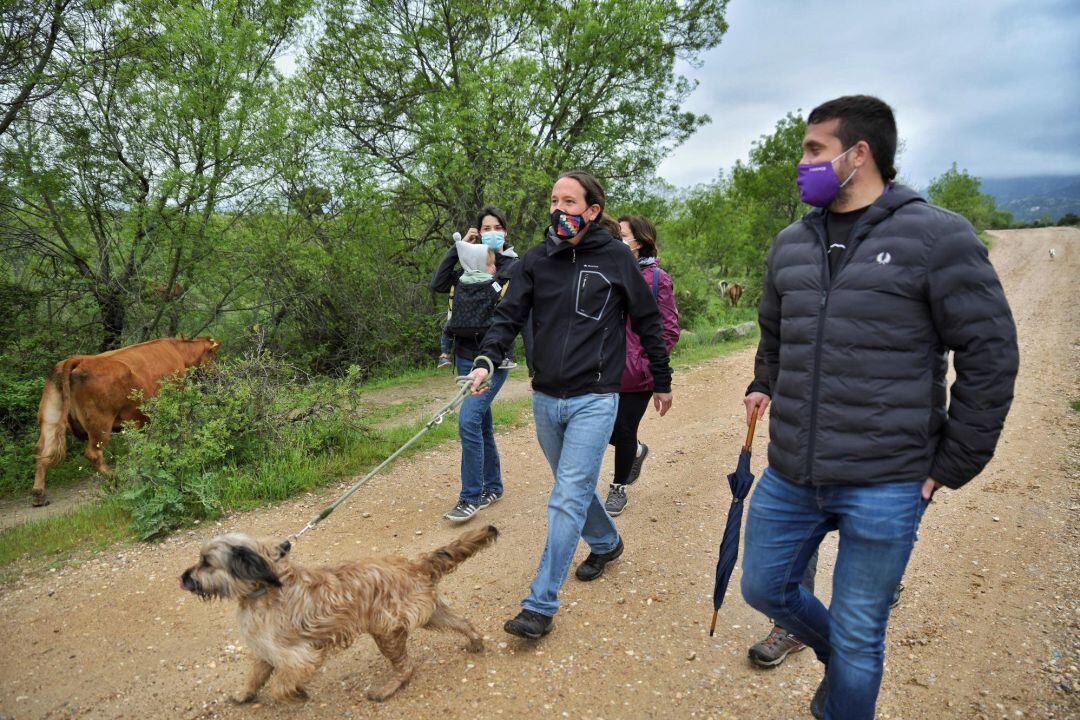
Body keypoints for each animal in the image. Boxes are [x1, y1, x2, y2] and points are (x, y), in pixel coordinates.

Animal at [30, 336, 219, 507]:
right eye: (213, 356)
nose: (216, 376)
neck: (178, 351)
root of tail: (78, 359)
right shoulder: (175, 401)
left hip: (50, 417)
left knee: (42, 449)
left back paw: (39, 494)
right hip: (100, 423)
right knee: (93, 454)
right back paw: (116, 479)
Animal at [180, 524, 496, 703]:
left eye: (206, 563)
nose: (182, 578)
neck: (267, 586)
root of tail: (413, 565)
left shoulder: (299, 657)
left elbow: (280, 686)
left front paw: (297, 697)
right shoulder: (266, 650)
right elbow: (255, 677)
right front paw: (243, 695)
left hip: (385, 631)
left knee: (407, 667)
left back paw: (386, 690)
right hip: (429, 614)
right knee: (464, 622)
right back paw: (475, 641)